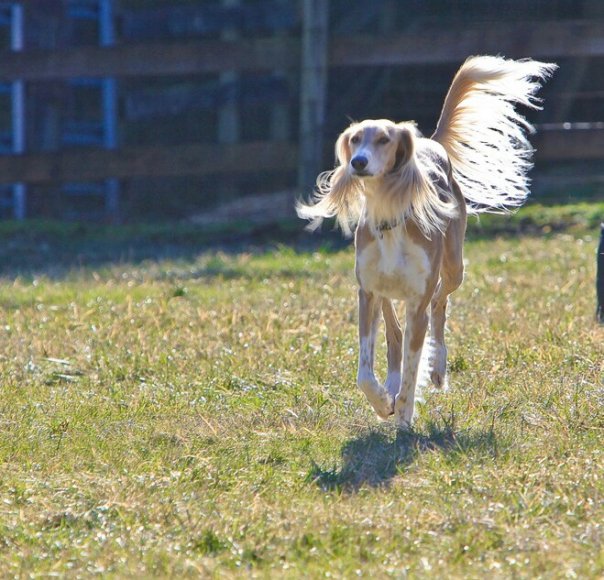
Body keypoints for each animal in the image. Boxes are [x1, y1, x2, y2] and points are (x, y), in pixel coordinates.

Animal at [297, 55, 557, 428]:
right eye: (356, 139)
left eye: (384, 139)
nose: (358, 162)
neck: (390, 220)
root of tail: (431, 143)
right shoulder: (367, 291)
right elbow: (366, 370)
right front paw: (382, 402)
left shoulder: (417, 300)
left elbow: (412, 364)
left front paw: (404, 419)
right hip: (385, 291)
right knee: (394, 334)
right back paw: (392, 384)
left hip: (453, 268)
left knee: (439, 304)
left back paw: (437, 368)